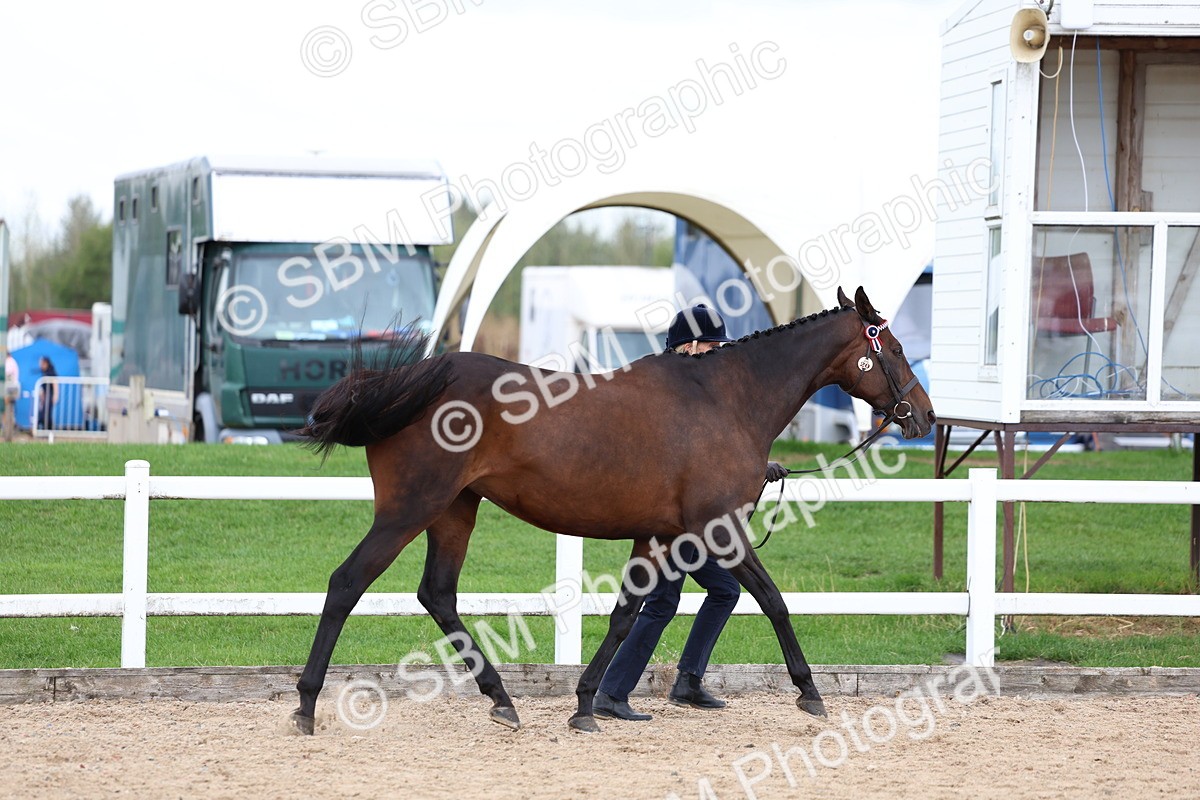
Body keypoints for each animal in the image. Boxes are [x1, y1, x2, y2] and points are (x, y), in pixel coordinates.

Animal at [291, 286, 935, 735]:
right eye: (895, 346)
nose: (924, 416)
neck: (724, 398)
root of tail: (409, 383)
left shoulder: (658, 536)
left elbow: (627, 615)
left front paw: (585, 705)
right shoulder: (720, 530)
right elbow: (773, 599)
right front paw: (810, 693)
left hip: (455, 510)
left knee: (438, 595)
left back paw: (502, 701)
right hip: (410, 509)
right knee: (346, 583)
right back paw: (305, 706)